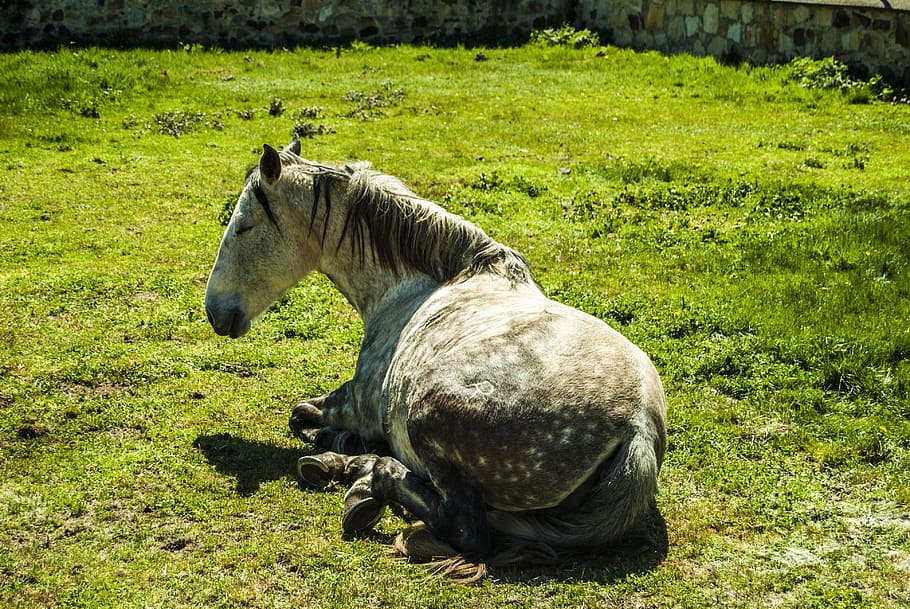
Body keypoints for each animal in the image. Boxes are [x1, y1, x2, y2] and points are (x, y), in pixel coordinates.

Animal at [204, 137, 668, 579]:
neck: (420, 285)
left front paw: (336, 446)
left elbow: (299, 414)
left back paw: (369, 476)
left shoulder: (355, 405)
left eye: (244, 226)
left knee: (466, 528)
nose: (214, 312)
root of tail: (638, 430)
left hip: (426, 419)